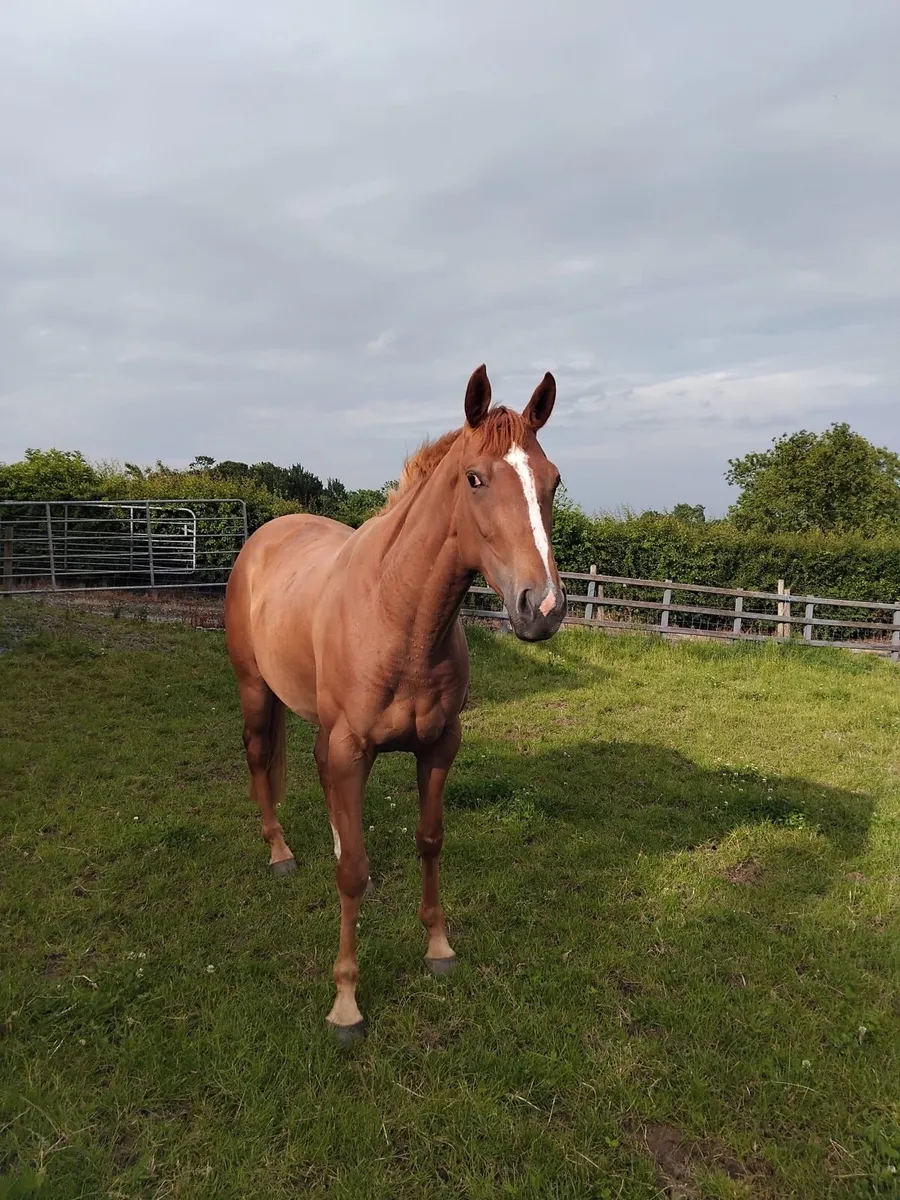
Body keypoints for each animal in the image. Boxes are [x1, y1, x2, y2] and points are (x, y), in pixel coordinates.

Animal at [224, 364, 567, 1041]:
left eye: (553, 481)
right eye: (475, 478)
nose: (541, 607)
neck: (397, 615)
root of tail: (265, 535)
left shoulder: (437, 746)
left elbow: (429, 839)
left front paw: (438, 947)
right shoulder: (352, 748)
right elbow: (352, 876)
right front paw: (346, 1003)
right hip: (256, 692)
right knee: (258, 761)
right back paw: (280, 853)